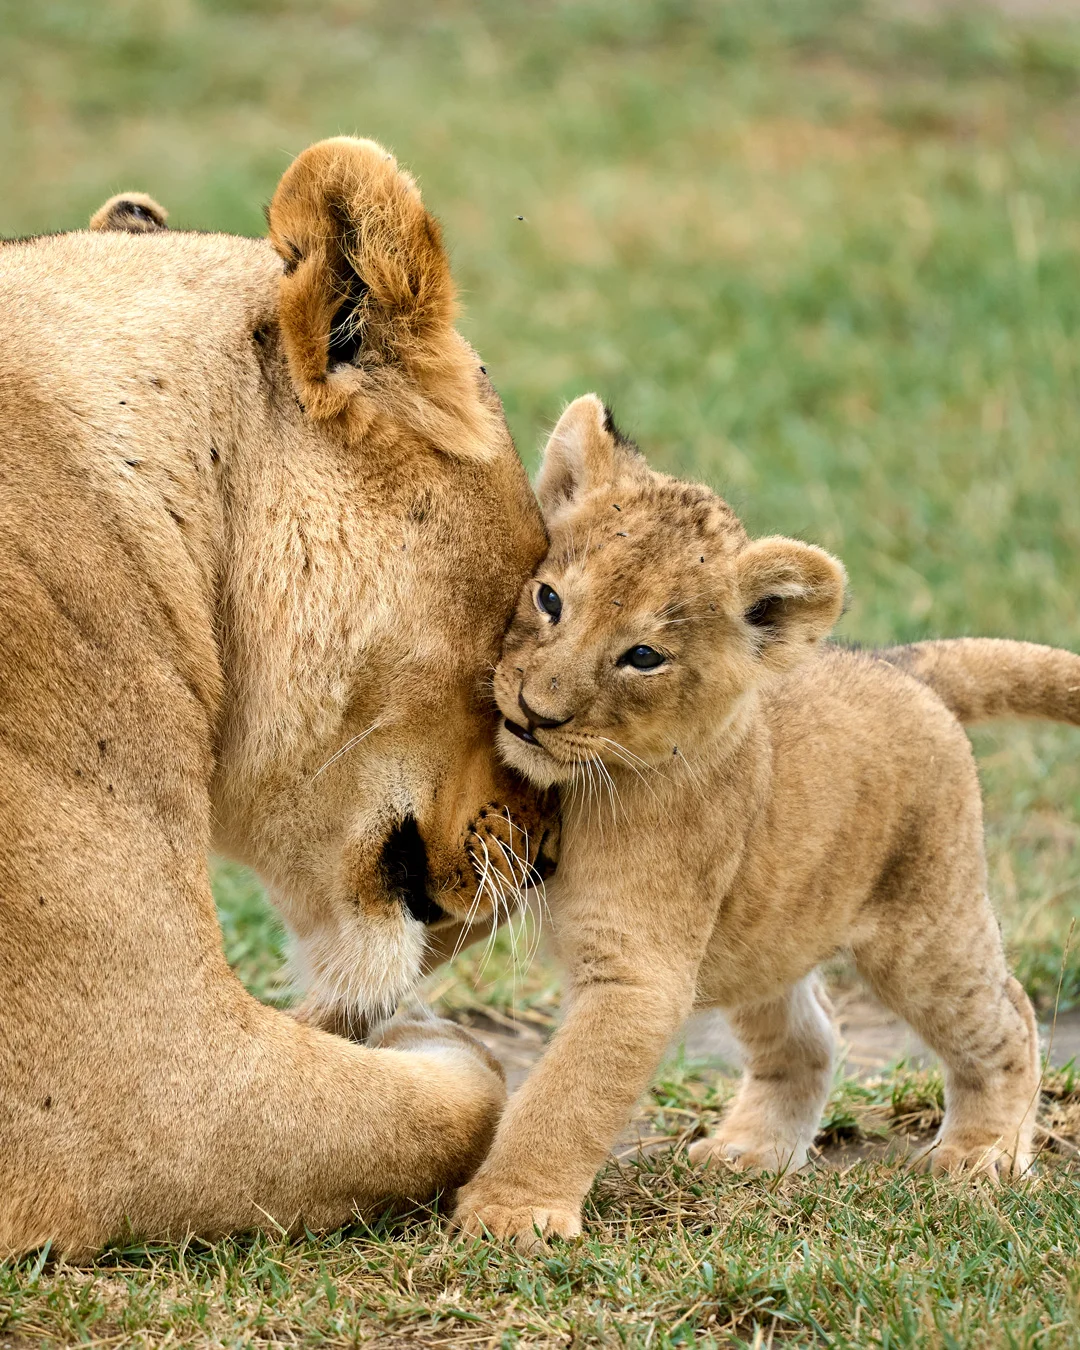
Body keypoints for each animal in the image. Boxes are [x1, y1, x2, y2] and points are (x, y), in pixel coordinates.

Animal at [452, 394, 1080, 1249]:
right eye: (549, 600)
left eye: (643, 656)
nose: (533, 713)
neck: (581, 787)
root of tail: (896, 662)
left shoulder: (639, 971)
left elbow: (568, 1096)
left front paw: (511, 1213)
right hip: (765, 932)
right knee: (811, 1038)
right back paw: (750, 1151)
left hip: (925, 929)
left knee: (1006, 1017)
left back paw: (982, 1154)